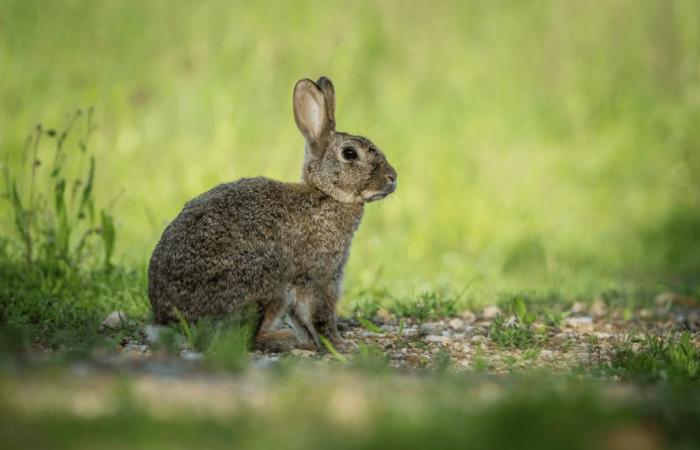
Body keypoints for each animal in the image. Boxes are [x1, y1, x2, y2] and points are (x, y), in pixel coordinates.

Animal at [148, 76, 396, 352]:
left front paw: (315, 344)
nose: (392, 178)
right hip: (264, 288)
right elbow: (320, 315)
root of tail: (171, 321)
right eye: (350, 153)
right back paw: (282, 338)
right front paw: (338, 345)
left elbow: (302, 319)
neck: (325, 194)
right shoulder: (319, 277)